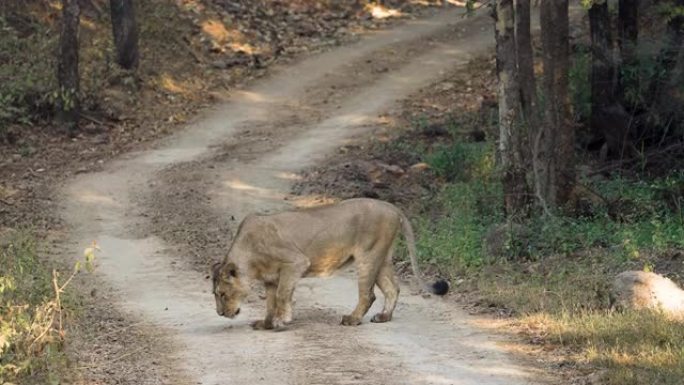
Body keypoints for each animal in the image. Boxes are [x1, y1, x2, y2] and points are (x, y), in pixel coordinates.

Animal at [214, 198, 448, 330]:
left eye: (222, 294)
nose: (219, 314)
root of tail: (392, 207)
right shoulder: (271, 278)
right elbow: (270, 302)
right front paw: (267, 324)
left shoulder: (295, 262)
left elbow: (282, 296)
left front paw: (282, 321)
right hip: (382, 257)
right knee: (393, 289)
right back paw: (383, 317)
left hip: (368, 256)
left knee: (368, 294)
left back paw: (352, 319)